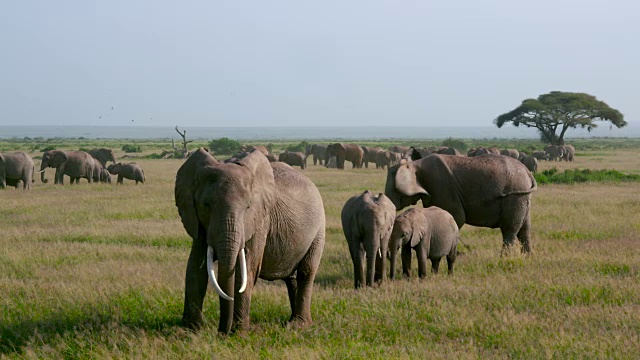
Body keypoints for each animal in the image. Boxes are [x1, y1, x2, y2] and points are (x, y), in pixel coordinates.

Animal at [175, 148, 324, 334]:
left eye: (247, 207)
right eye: (206, 205)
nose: (221, 332)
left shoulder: (260, 220)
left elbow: (246, 269)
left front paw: (239, 333)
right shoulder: (199, 222)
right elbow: (196, 267)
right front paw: (190, 330)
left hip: (319, 230)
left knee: (306, 271)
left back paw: (299, 325)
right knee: (291, 277)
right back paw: (292, 321)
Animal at [388, 155, 536, 253]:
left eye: (393, 188)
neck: (415, 163)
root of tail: (528, 172)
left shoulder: (443, 187)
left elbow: (457, 218)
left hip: (515, 195)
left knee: (509, 229)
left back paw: (504, 259)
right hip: (523, 197)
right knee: (525, 229)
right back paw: (527, 258)